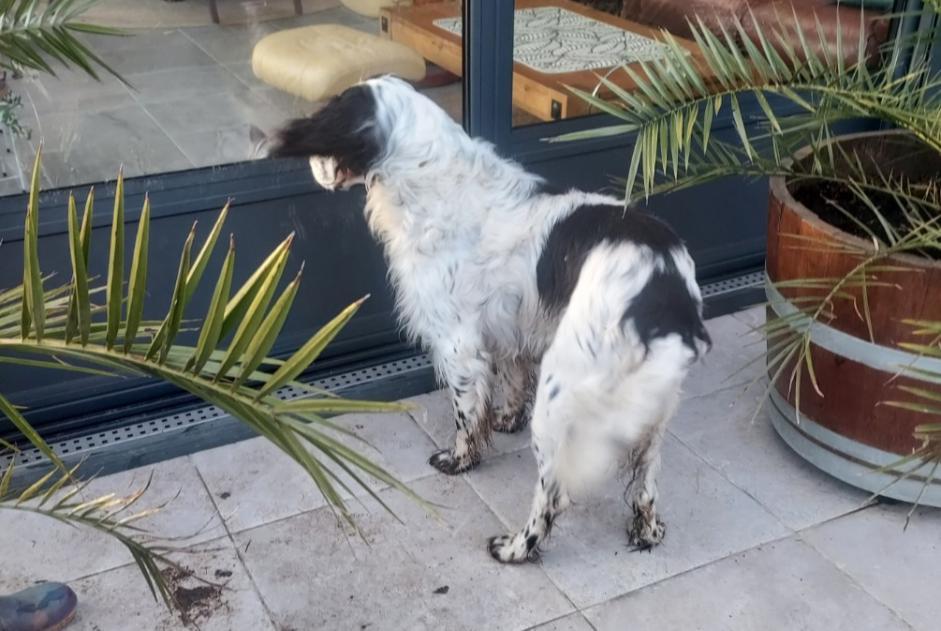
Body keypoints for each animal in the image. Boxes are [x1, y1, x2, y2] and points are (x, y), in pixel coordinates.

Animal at [268, 76, 708, 564]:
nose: (315, 169)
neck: (429, 178)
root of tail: (665, 286)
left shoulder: (459, 344)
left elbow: (464, 414)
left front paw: (459, 460)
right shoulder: (510, 329)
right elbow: (512, 382)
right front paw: (505, 419)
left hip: (560, 397)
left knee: (553, 493)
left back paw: (515, 547)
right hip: (654, 406)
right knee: (647, 477)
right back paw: (646, 529)